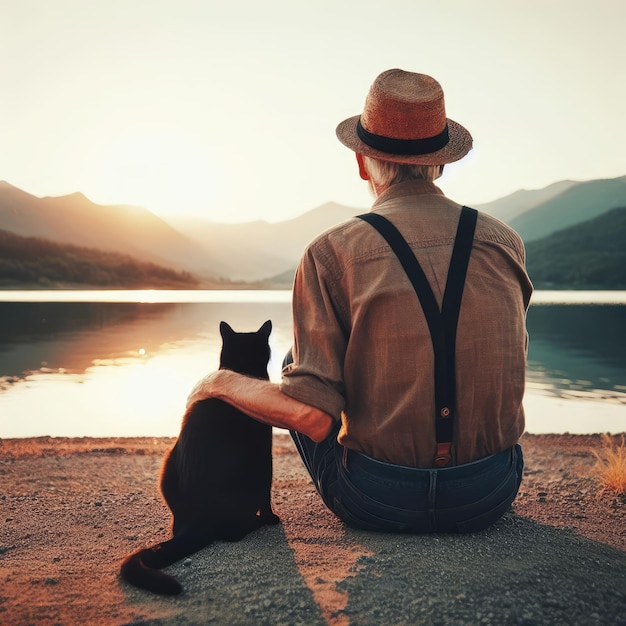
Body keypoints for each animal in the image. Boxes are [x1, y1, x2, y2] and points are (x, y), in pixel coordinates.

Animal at [119, 320, 278, 592]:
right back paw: (256, 523)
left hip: (167, 462)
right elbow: (266, 497)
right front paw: (272, 518)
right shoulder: (265, 452)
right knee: (232, 533)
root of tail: (195, 524)